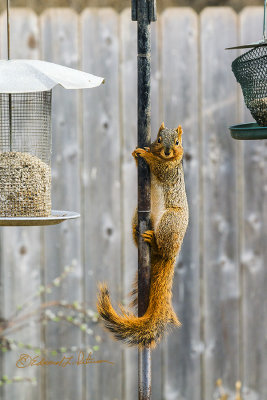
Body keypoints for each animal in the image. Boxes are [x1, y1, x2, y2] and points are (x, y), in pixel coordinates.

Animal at [97, 122, 189, 346]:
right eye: (158, 139)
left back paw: (154, 243)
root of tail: (172, 255)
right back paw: (140, 234)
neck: (169, 158)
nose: (167, 151)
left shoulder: (170, 171)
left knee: (163, 247)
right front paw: (137, 153)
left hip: (170, 223)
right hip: (136, 217)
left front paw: (146, 155)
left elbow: (159, 166)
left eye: (177, 142)